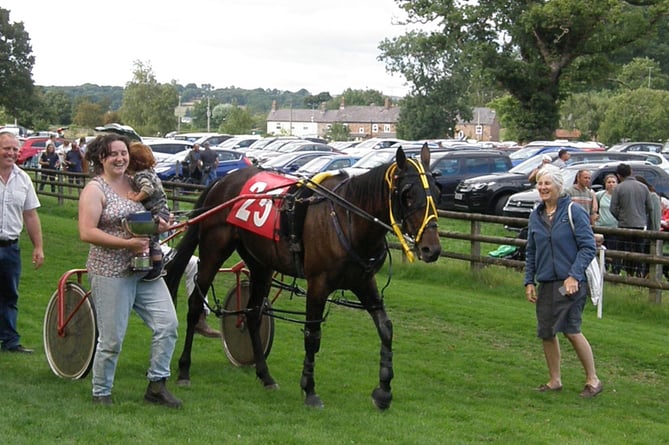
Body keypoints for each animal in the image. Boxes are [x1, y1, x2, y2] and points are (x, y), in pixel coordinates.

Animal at [164, 146, 440, 410]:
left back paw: (265, 376)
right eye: (408, 194)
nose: (432, 249)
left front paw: (383, 391)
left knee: (252, 315)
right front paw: (309, 390)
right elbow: (313, 335)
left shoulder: (363, 282)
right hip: (214, 250)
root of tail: (221, 181)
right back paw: (184, 370)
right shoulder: (318, 284)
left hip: (261, 264)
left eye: (436, 193)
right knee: (195, 304)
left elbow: (385, 328)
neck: (346, 218)